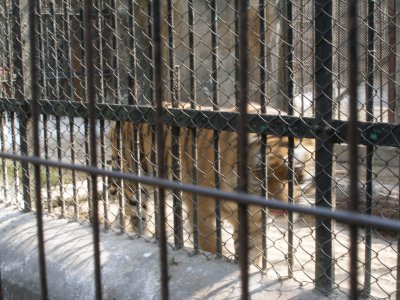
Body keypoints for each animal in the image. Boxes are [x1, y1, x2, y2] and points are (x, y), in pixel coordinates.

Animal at [108, 103, 314, 264]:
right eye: (261, 174)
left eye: (296, 173)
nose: (280, 209)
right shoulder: (202, 209)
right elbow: (211, 245)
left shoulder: (254, 221)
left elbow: (252, 252)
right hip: (134, 184)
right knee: (135, 213)